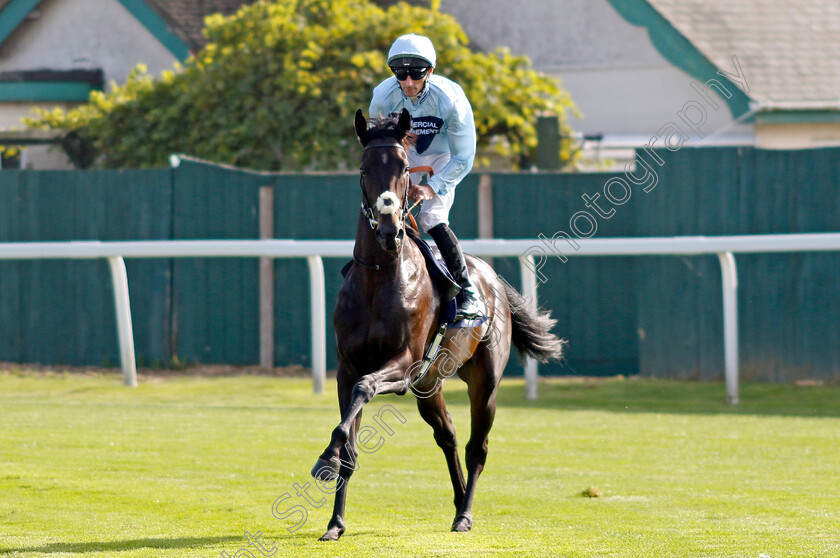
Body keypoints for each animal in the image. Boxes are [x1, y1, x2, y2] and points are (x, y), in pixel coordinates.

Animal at [308, 108, 564, 544]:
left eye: (404, 167)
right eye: (363, 169)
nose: (389, 231)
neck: (379, 279)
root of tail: (492, 279)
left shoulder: (404, 364)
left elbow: (364, 391)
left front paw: (325, 459)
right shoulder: (348, 367)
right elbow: (350, 436)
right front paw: (335, 521)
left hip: (483, 383)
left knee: (478, 447)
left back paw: (465, 514)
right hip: (430, 387)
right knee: (448, 435)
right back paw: (459, 501)